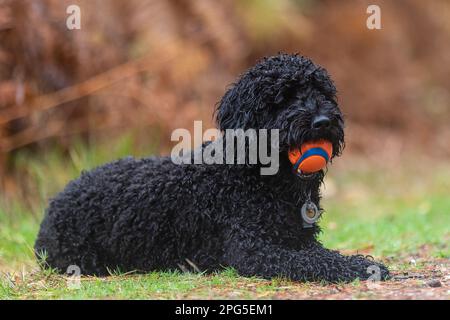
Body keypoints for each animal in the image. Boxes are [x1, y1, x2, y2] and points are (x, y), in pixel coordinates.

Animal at [35, 53, 388, 282]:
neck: (256, 177)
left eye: (322, 93)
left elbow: (319, 253)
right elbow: (314, 261)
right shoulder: (253, 250)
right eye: (283, 98)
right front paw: (360, 268)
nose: (323, 121)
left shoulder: (299, 240)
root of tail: (54, 203)